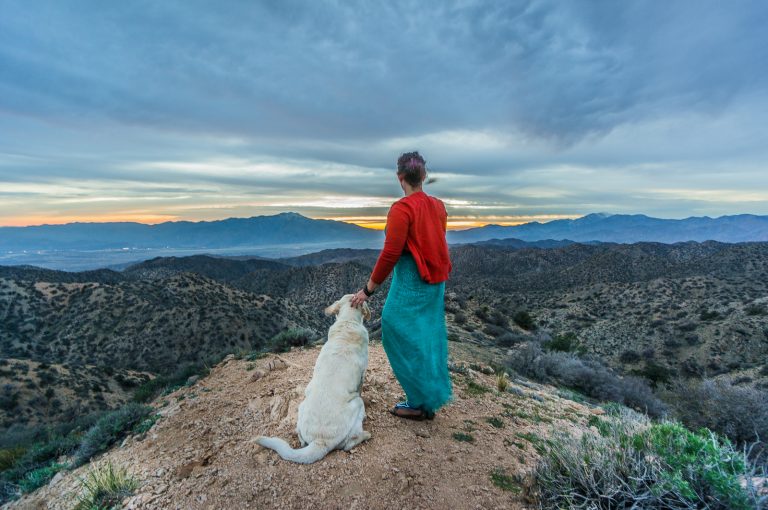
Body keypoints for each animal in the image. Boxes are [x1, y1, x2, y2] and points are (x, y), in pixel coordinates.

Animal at [254, 292, 370, 464]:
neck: (348, 322)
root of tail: (320, 440)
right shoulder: (362, 374)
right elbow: (361, 388)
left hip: (302, 406)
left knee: (302, 439)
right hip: (357, 404)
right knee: (350, 443)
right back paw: (366, 435)